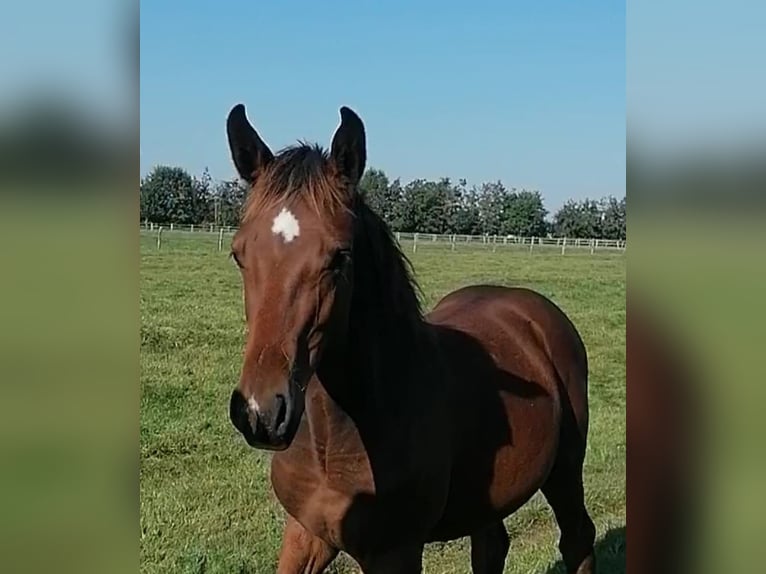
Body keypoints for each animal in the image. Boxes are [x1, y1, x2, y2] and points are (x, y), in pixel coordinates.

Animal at [225, 104, 596, 574]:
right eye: (239, 253)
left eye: (340, 256)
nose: (261, 413)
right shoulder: (305, 533)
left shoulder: (395, 552)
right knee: (491, 545)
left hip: (565, 469)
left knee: (577, 539)